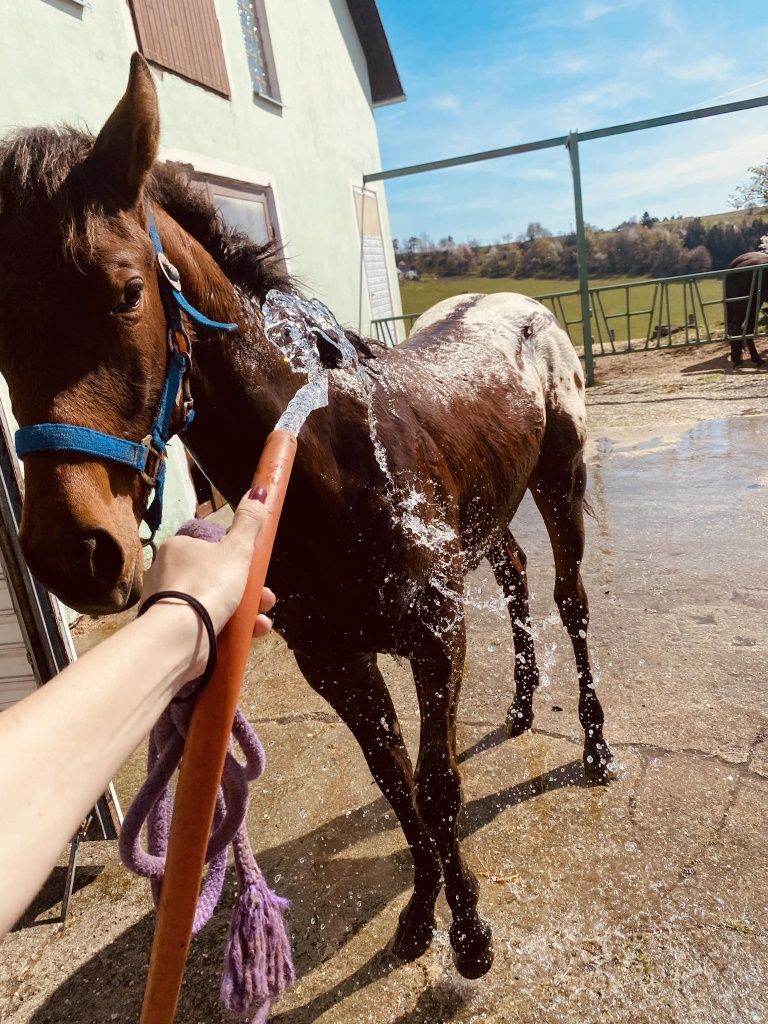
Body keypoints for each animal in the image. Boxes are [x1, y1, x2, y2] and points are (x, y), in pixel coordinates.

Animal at [0, 56, 614, 974]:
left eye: (127, 292)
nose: (74, 553)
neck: (328, 459)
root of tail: (519, 304)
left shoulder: (435, 638)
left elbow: (438, 785)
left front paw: (469, 935)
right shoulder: (337, 662)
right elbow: (397, 784)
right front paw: (421, 915)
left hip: (560, 483)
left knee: (570, 604)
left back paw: (596, 748)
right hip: (490, 509)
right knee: (512, 574)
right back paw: (518, 706)